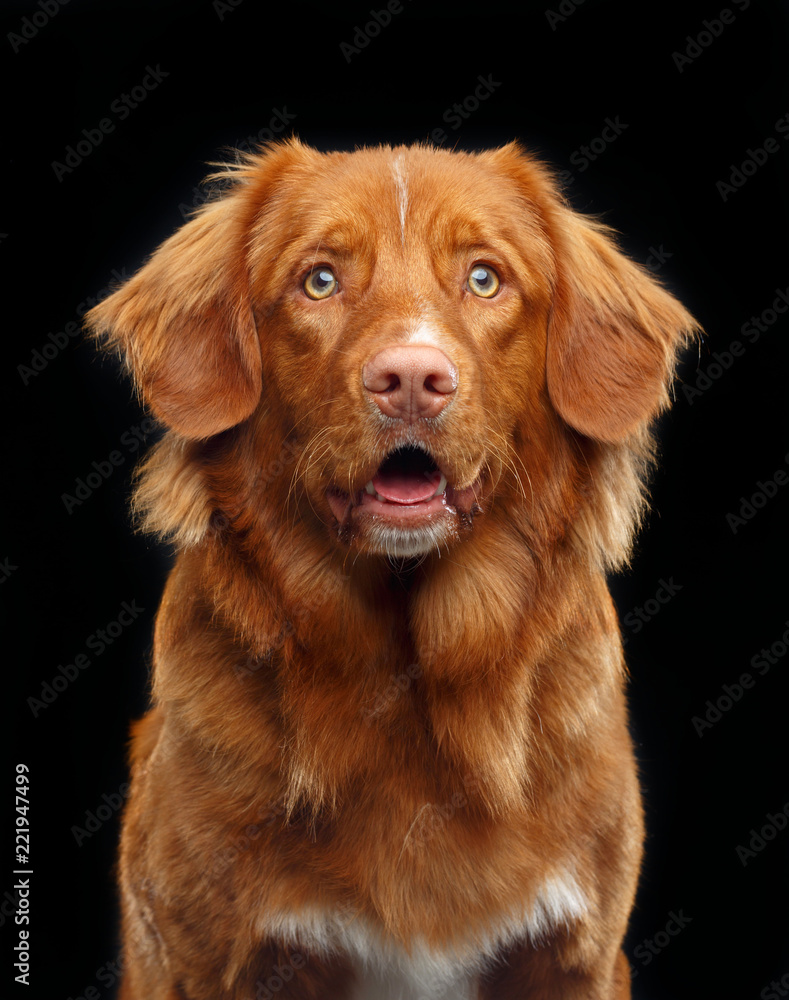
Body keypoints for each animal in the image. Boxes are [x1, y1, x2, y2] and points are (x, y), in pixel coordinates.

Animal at [87, 137, 696, 996]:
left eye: (484, 277)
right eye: (319, 280)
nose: (411, 379)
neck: (406, 672)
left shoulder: (575, 956)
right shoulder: (208, 960)